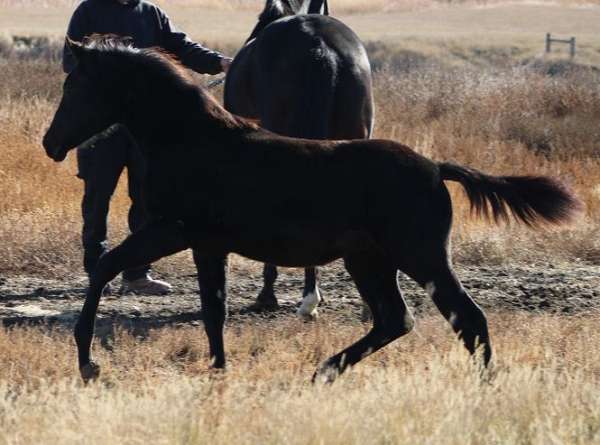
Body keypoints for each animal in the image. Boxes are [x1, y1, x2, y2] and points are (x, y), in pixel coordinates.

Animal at [43, 40, 580, 384]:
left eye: (75, 87)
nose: (51, 144)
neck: (192, 139)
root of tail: (434, 166)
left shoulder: (176, 232)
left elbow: (112, 268)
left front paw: (88, 363)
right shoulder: (199, 241)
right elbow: (210, 309)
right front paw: (218, 371)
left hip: (420, 256)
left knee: (466, 318)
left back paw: (483, 388)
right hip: (370, 260)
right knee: (396, 319)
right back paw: (324, 371)